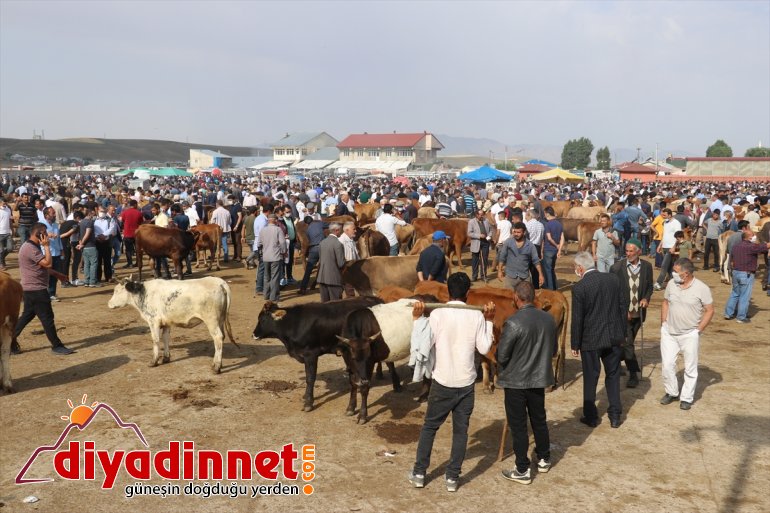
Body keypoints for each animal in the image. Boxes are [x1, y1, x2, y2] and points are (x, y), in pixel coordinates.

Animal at [106, 276, 236, 372]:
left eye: (116, 291)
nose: (109, 304)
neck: (143, 293)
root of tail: (220, 282)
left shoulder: (153, 321)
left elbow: (155, 340)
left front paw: (154, 361)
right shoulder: (166, 322)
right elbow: (165, 338)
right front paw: (166, 358)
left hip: (211, 320)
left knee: (218, 338)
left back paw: (217, 366)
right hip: (220, 320)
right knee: (222, 337)